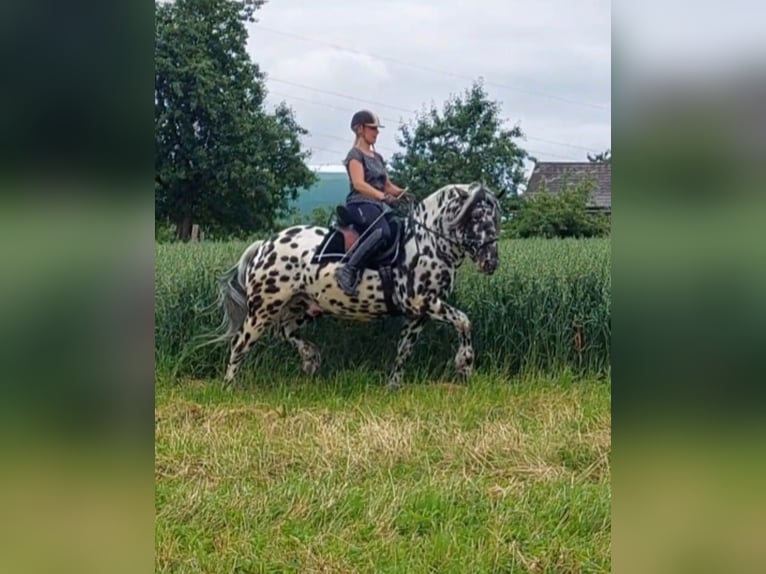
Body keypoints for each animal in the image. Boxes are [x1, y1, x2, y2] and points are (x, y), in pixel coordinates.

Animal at [210, 184, 508, 392]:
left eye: (497, 218)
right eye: (475, 215)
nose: (491, 262)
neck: (427, 244)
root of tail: (264, 245)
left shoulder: (418, 314)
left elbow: (404, 350)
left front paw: (393, 386)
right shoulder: (424, 302)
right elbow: (464, 321)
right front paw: (465, 365)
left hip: (303, 305)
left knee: (286, 332)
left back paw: (310, 358)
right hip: (263, 309)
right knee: (240, 343)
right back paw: (229, 387)